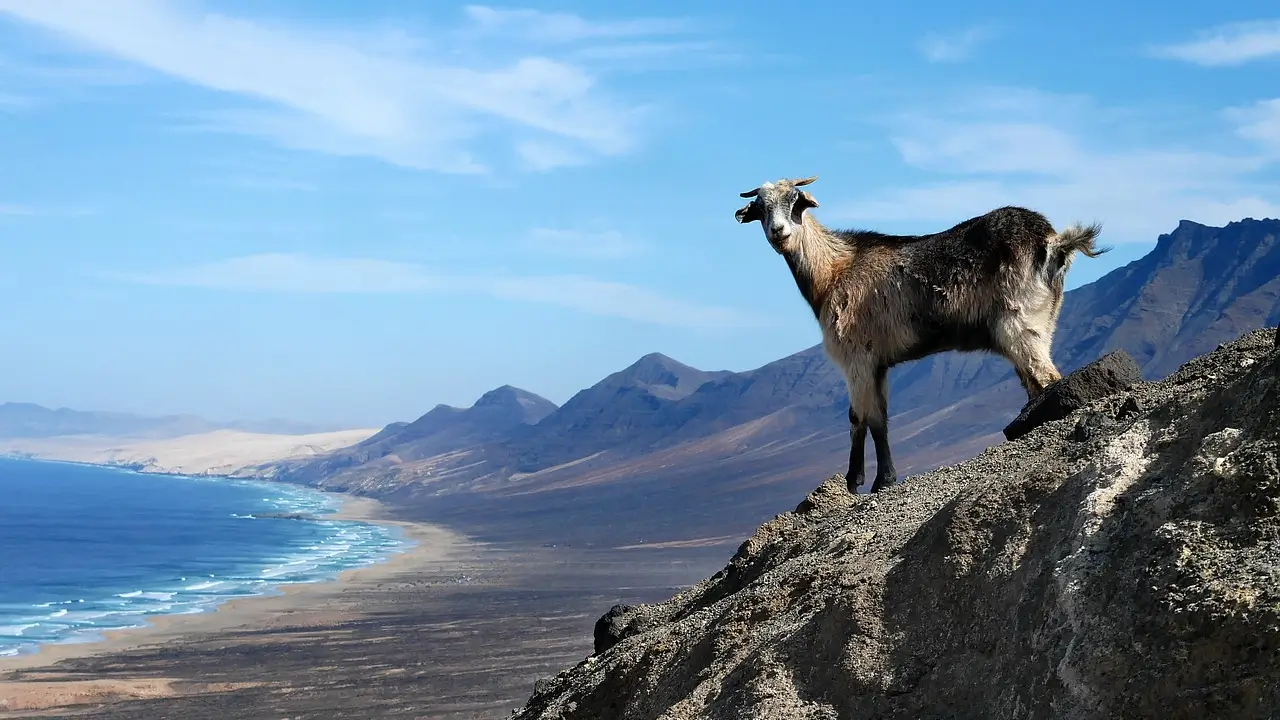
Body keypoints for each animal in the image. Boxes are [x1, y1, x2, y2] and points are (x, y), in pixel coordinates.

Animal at [737, 174, 1105, 489]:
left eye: (795, 202)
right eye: (761, 208)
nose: (779, 232)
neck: (833, 272)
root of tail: (1054, 243)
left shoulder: (857, 356)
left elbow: (861, 418)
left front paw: (863, 481)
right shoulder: (878, 364)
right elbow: (879, 418)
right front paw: (875, 479)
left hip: (1021, 323)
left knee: (1046, 378)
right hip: (1039, 323)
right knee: (1034, 381)